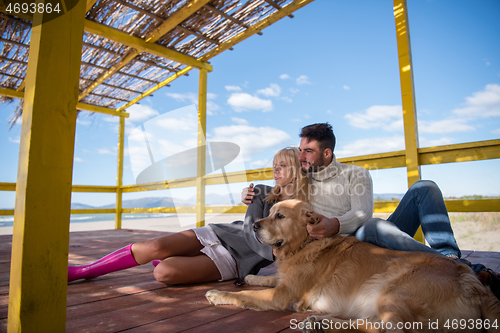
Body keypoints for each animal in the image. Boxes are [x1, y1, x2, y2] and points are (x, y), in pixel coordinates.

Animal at [205, 198, 498, 330]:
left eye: (280, 216)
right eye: (270, 213)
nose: (254, 225)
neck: (305, 244)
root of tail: (473, 283)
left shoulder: (283, 295)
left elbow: (245, 295)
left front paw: (218, 293)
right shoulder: (285, 280)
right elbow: (267, 278)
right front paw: (252, 277)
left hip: (392, 291)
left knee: (389, 330)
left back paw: (322, 323)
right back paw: (319, 322)